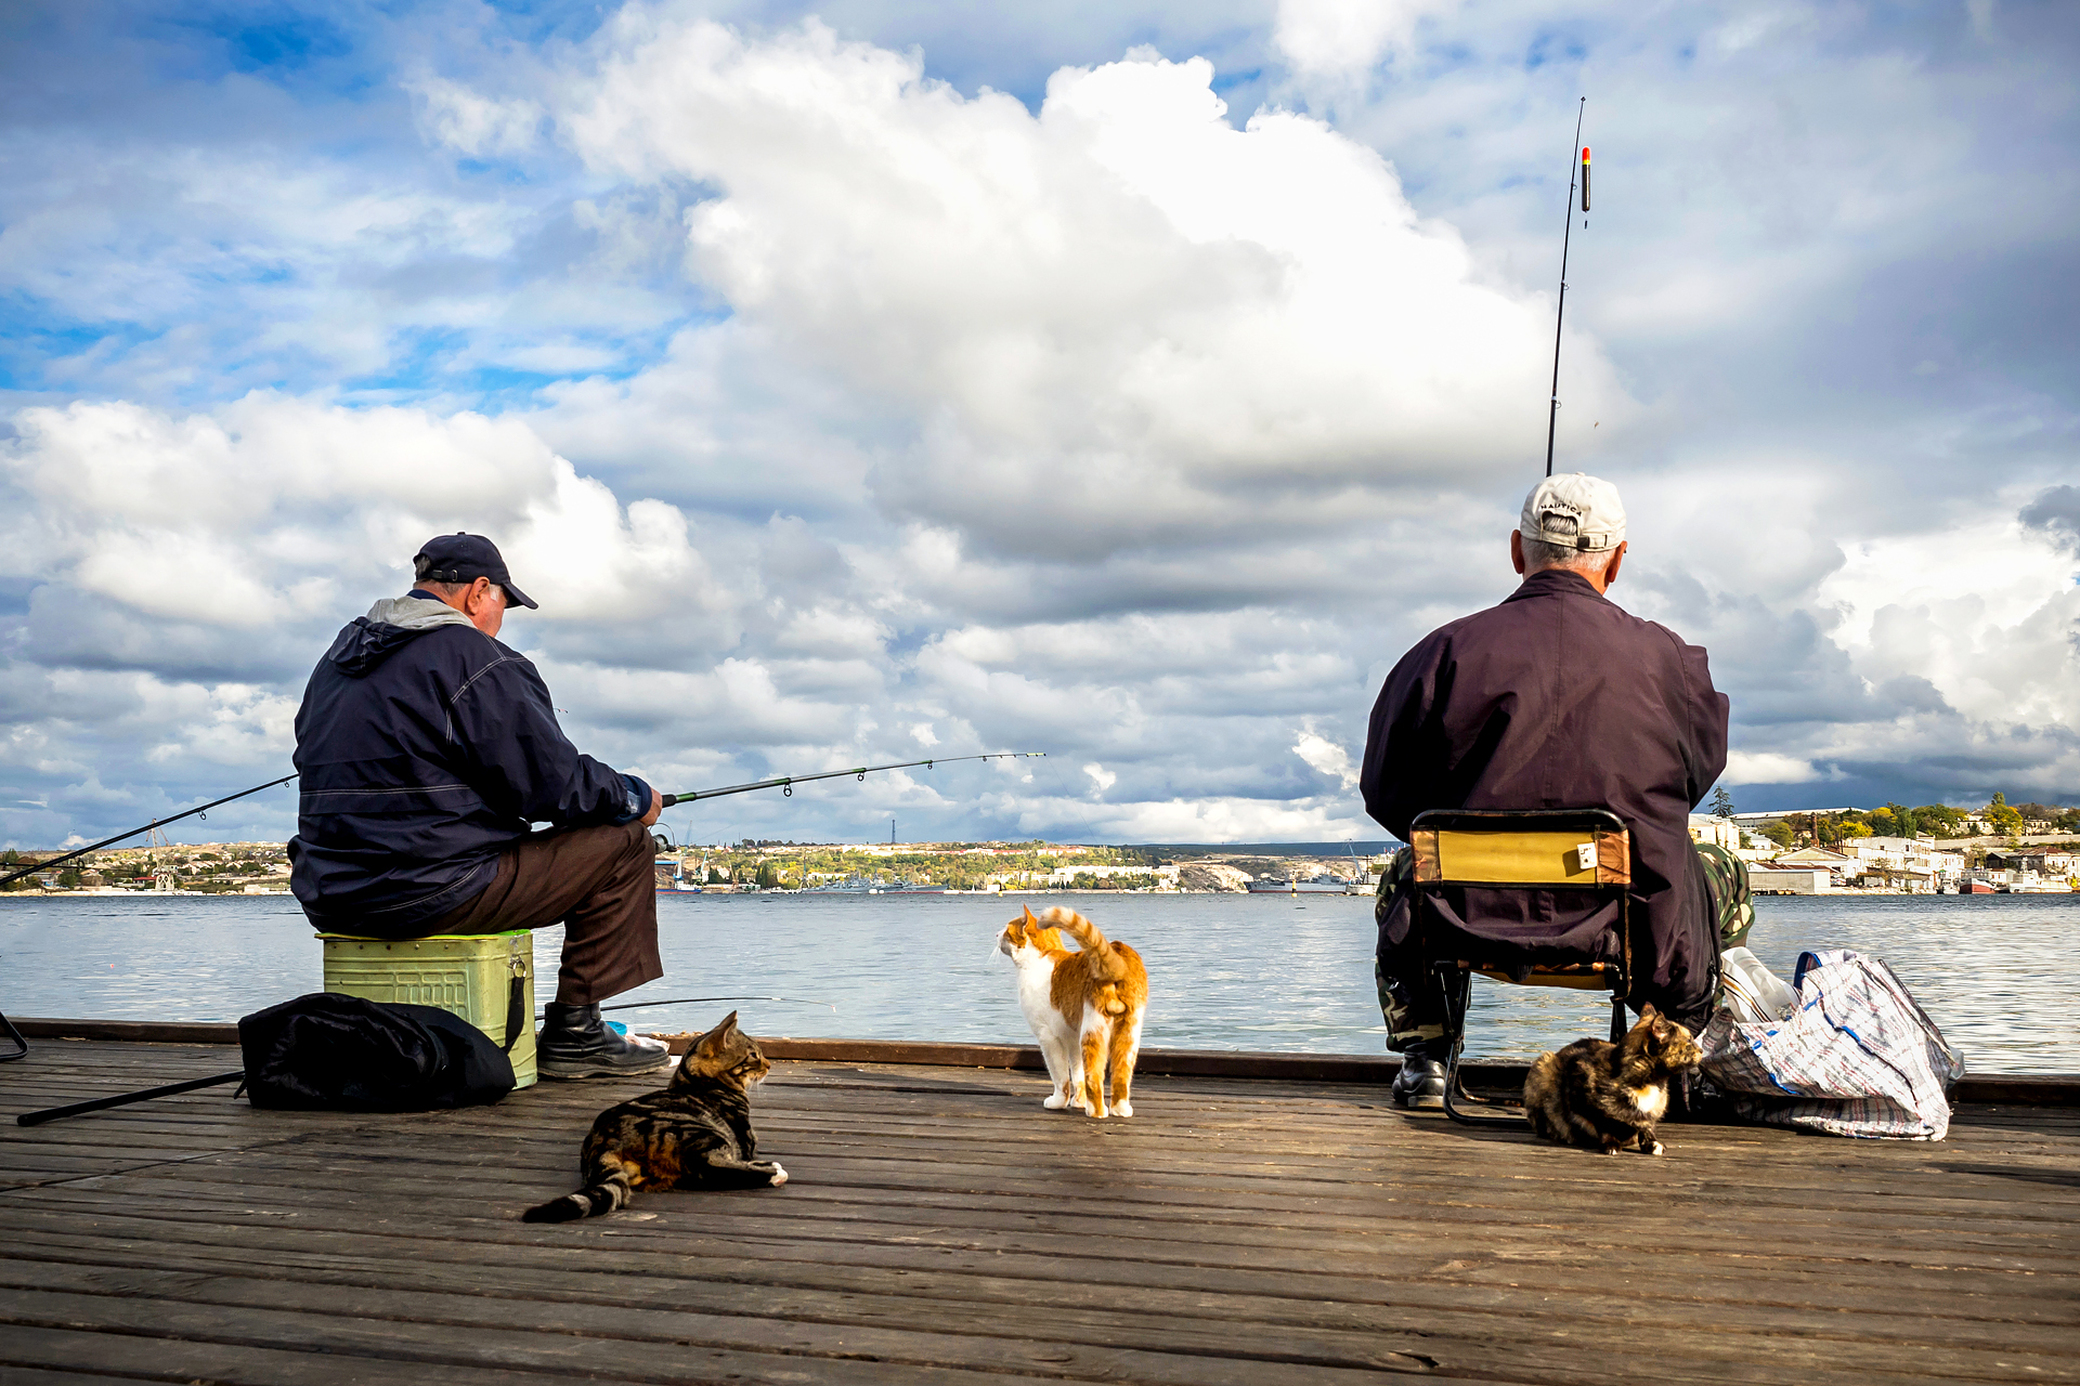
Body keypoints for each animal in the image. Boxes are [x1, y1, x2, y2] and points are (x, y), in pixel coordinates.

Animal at [520, 1003, 786, 1223]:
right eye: (753, 1055)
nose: (768, 1065)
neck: (695, 1081)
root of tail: (603, 1142)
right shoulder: (744, 1139)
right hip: (699, 1133)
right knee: (711, 1170)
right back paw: (773, 1172)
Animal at [994, 903, 1148, 1115]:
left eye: (1006, 929)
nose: (996, 933)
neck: (1041, 957)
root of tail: (1118, 954)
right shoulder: (1073, 1037)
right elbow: (1077, 1073)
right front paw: (1079, 1101)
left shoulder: (1048, 1037)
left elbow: (1061, 1077)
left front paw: (1059, 1101)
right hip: (1129, 1033)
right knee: (1121, 1075)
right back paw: (1121, 1110)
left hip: (1092, 1030)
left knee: (1094, 1078)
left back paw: (1096, 1112)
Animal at [1522, 998, 1697, 1148]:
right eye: (1689, 1040)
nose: (1701, 1050)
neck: (1649, 1083)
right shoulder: (1578, 1090)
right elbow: (1602, 1122)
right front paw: (1611, 1144)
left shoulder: (1651, 1115)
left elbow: (1646, 1126)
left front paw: (1652, 1143)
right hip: (1544, 1063)